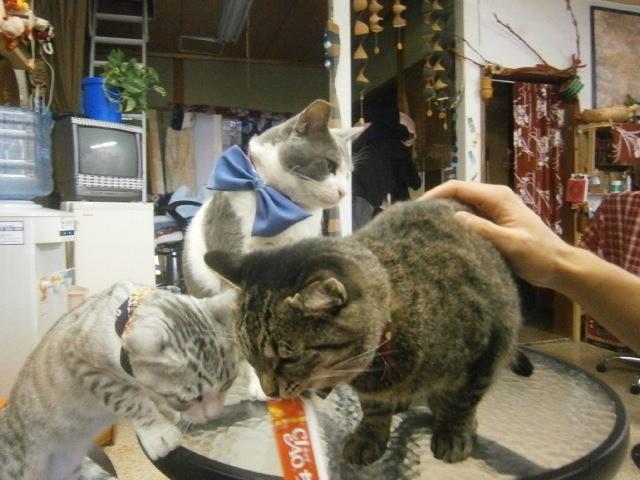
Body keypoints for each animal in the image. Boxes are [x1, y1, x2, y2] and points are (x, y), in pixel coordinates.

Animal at [0, 281, 238, 480]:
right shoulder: (83, 363)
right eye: (186, 399)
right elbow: (129, 399)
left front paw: (164, 410)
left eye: (227, 384)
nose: (213, 415)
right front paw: (158, 431)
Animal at [203, 198, 528, 466]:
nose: (269, 392)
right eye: (251, 358)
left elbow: (461, 401)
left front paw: (454, 432)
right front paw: (369, 435)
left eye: (288, 358)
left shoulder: (487, 349)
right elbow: (373, 408)